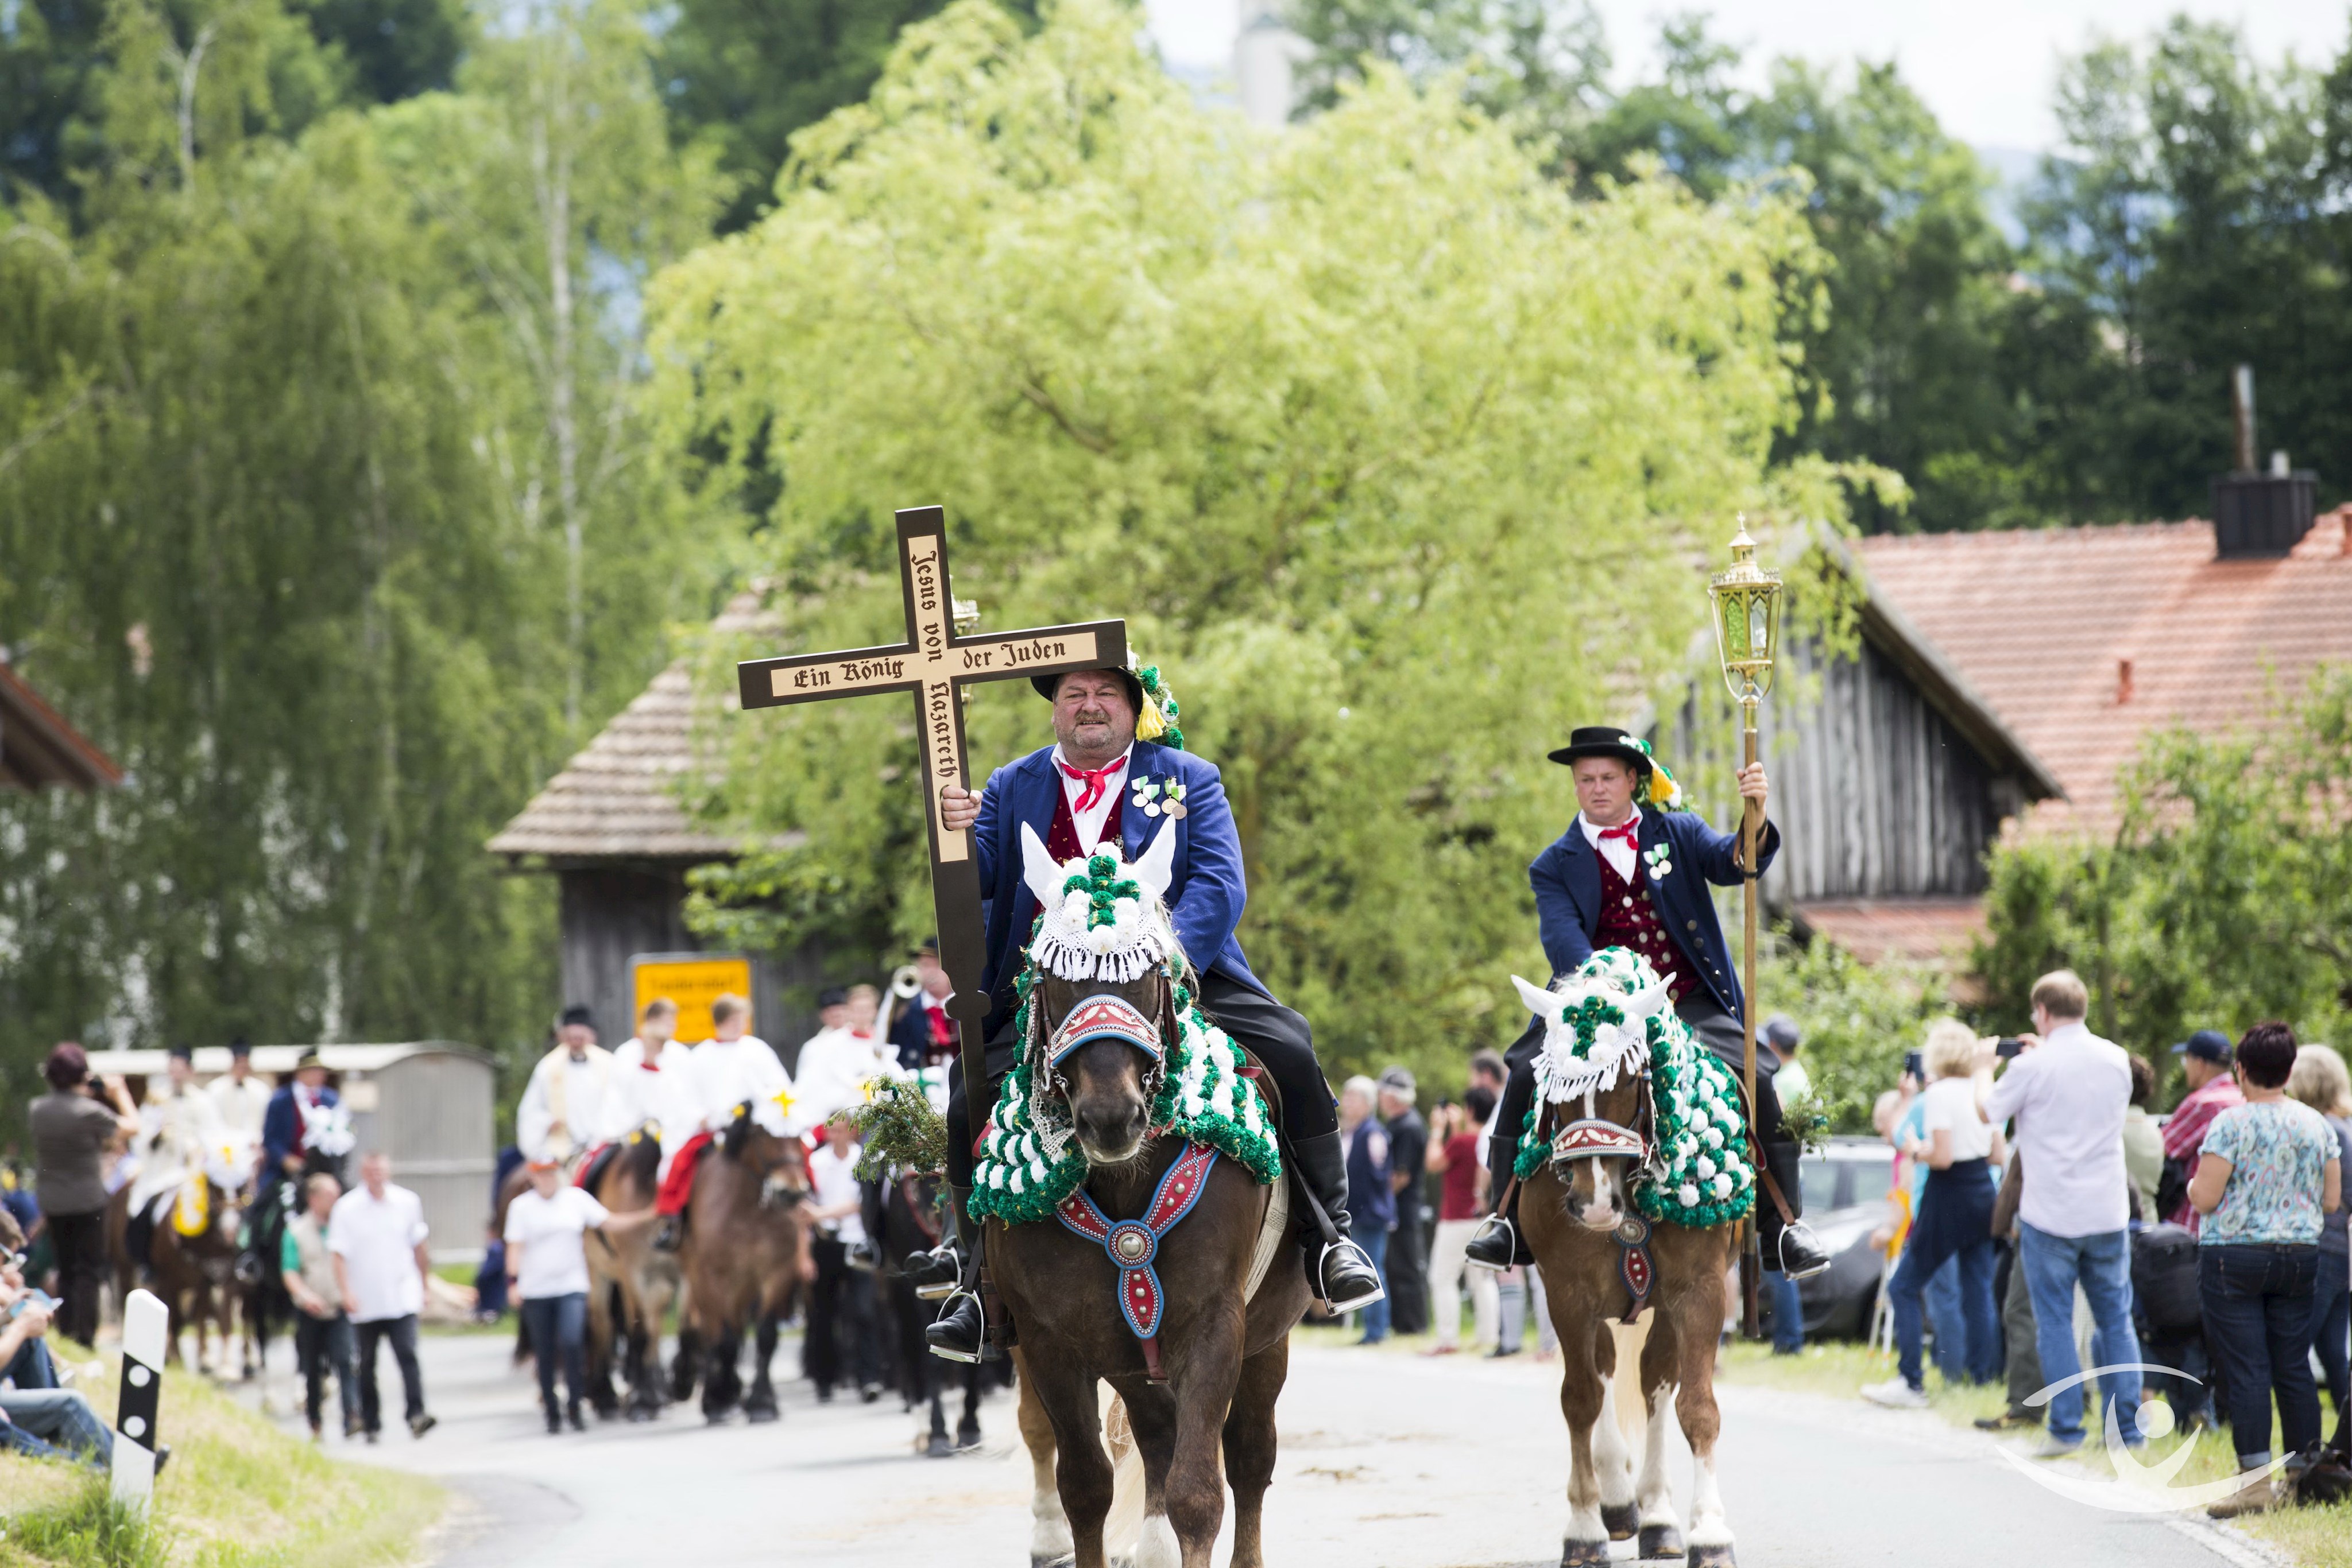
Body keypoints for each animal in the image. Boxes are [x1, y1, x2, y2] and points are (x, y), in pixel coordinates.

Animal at [677, 1105, 814, 1420]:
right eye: (764, 1134)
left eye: (799, 1135)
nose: (792, 1192)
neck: (748, 1209)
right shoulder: (714, 1275)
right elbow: (724, 1339)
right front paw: (720, 1397)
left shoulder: (777, 1273)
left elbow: (765, 1336)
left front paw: (762, 1401)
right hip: (701, 1279)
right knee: (710, 1330)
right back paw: (713, 1392)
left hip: (743, 1286)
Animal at [978, 968, 1298, 1568]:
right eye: (1054, 981)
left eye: (1147, 977)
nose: (1111, 1119)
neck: (1125, 1178)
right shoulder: (1048, 1343)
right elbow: (1084, 1486)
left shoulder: (1213, 1326)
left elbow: (1196, 1495)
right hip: (1130, 1358)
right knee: (1154, 1436)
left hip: (1266, 1341)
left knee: (1248, 1457)